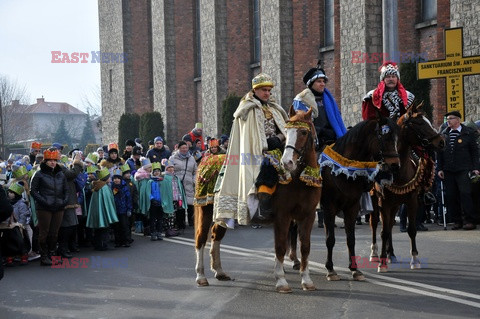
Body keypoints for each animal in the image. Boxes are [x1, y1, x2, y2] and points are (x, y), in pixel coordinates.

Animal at [193, 109, 320, 294]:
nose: (287, 162)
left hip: (222, 213)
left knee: (216, 234)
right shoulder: (283, 216)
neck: (298, 180)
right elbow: (280, 246)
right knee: (201, 239)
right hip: (205, 209)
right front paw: (281, 281)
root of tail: (206, 158)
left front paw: (307, 280)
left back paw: (219, 271)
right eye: (287, 131)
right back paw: (201, 276)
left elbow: (305, 246)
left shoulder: (308, 215)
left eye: (303, 132)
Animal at [318, 114, 402, 282]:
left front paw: (354, 269)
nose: (395, 166)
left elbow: (351, 238)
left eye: (397, 138)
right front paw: (330, 269)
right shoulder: (329, 207)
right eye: (384, 136)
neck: (342, 169)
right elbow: (330, 239)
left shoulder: (352, 207)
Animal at [370, 103, 444, 272]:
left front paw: (415, 259)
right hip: (374, 200)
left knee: (390, 224)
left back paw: (391, 254)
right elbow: (383, 231)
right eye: (420, 123)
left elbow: (411, 229)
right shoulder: (383, 203)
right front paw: (382, 263)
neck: (397, 170)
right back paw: (375, 253)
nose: (441, 141)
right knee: (375, 223)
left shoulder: (411, 201)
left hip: (396, 204)